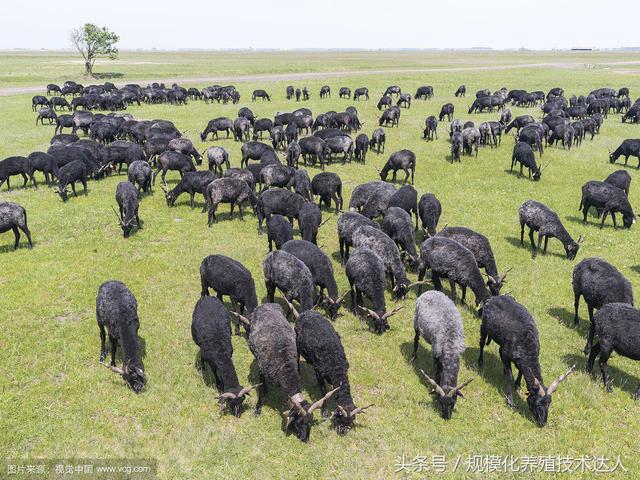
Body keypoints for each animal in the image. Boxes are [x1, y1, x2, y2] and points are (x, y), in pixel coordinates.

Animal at [410, 290, 470, 418]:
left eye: (453, 401)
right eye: (440, 401)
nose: (446, 417)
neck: (450, 349)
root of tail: (430, 291)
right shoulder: (436, 354)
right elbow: (437, 374)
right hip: (416, 322)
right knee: (416, 339)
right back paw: (414, 357)